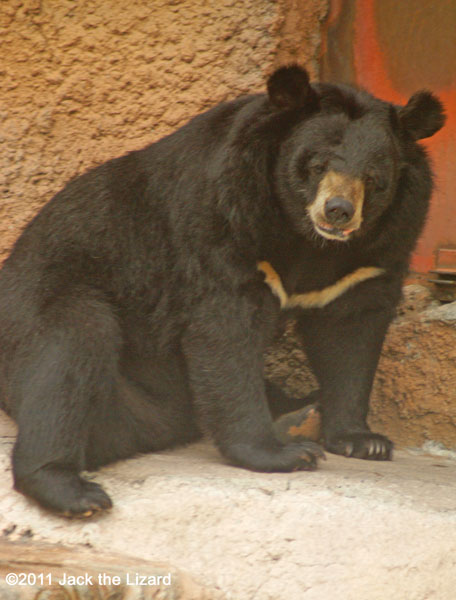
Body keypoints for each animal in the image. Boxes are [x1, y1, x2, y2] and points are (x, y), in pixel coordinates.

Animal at [0, 65, 444, 516]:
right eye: (317, 165)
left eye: (373, 179)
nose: (338, 210)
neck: (306, 237)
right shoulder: (223, 220)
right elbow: (226, 334)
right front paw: (282, 454)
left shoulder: (375, 252)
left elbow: (350, 335)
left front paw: (363, 441)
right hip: (47, 304)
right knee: (71, 355)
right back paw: (72, 491)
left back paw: (301, 413)